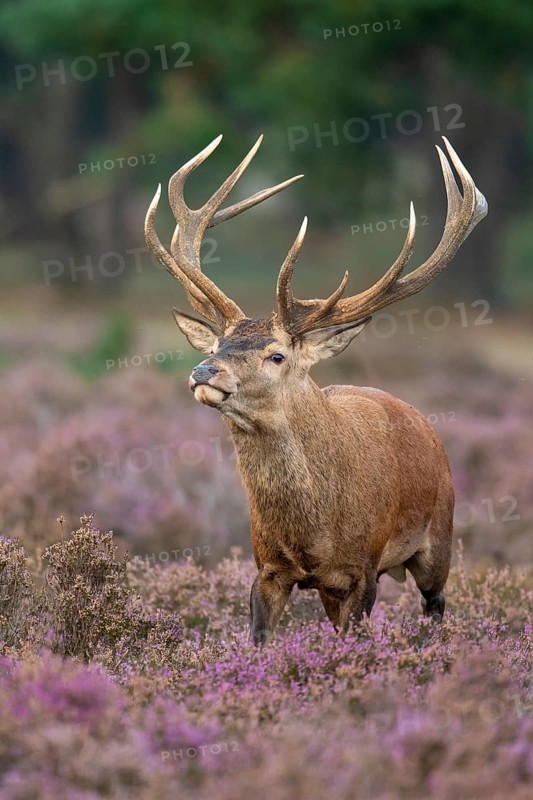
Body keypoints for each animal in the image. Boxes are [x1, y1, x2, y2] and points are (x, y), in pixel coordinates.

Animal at [145, 134, 487, 645]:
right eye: (220, 344)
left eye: (277, 356)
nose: (204, 371)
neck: (314, 532)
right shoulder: (268, 568)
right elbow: (258, 639)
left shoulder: (363, 569)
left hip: (438, 537)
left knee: (436, 605)